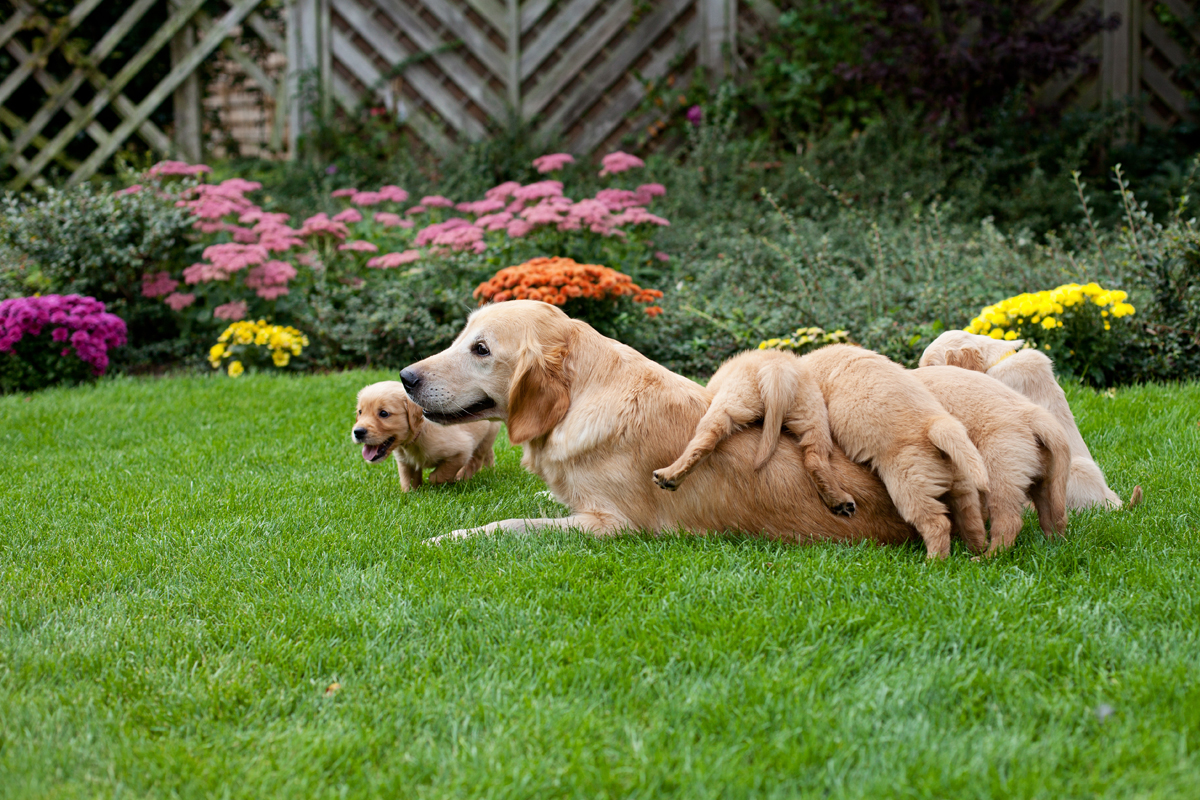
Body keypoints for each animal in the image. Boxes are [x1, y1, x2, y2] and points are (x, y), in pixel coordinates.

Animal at [350, 381, 501, 491]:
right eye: (360, 412)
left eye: (383, 413)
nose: (358, 432)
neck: (417, 435)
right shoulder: (405, 462)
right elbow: (408, 480)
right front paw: (409, 494)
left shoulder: (462, 450)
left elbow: (439, 475)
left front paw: (440, 481)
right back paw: (490, 470)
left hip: (488, 434)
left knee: (476, 460)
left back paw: (463, 477)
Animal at [652, 350, 859, 520]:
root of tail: (777, 368)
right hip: (813, 414)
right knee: (815, 458)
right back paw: (839, 501)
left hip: (731, 402)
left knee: (704, 442)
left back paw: (668, 476)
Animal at [796, 343, 993, 556]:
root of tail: (935, 425)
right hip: (962, 485)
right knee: (972, 521)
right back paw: (977, 552)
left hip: (907, 485)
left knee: (937, 523)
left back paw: (934, 560)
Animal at [912, 367, 1075, 554]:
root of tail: (1033, 416)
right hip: (1046, 478)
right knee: (1053, 516)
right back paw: (1053, 545)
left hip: (999, 470)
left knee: (1008, 521)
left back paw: (988, 555)